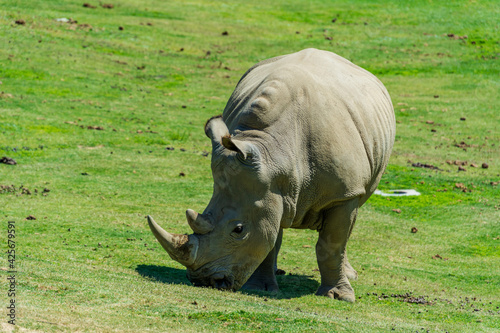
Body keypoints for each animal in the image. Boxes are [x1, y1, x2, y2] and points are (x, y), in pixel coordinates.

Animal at [146, 48, 396, 300]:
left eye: (238, 230)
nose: (205, 280)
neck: (273, 155)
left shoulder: (344, 193)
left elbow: (332, 245)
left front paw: (338, 296)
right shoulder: (266, 189)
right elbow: (268, 235)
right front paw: (260, 288)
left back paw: (349, 276)